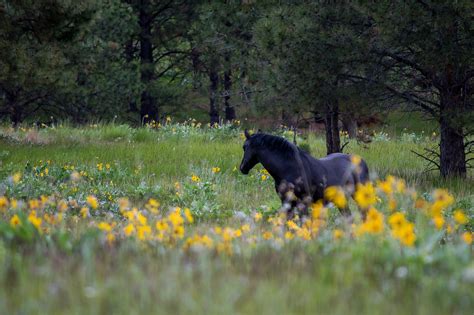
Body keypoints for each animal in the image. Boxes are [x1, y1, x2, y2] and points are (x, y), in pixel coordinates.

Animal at [239, 130, 368, 217]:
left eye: (244, 147)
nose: (242, 168)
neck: (289, 169)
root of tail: (361, 161)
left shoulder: (303, 203)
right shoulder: (286, 202)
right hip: (341, 199)